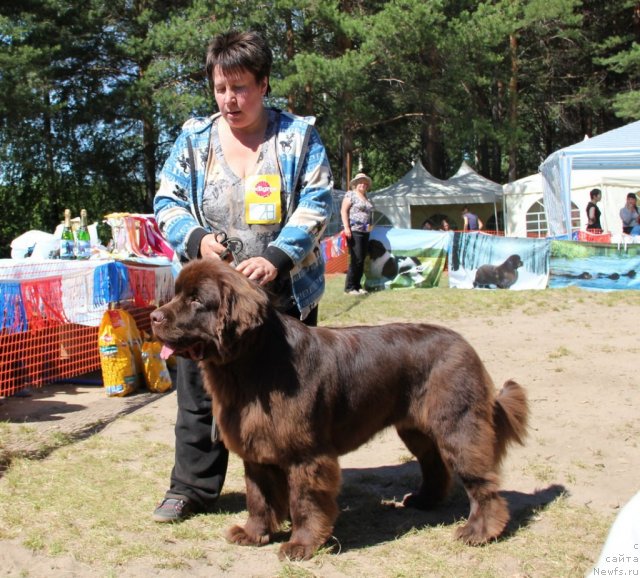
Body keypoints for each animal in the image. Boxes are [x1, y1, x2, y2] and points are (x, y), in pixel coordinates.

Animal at [151, 260, 528, 560]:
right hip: (415, 428)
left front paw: (300, 546)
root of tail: (465, 344)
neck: (251, 365)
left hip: (459, 424)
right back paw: (424, 500)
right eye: (178, 294)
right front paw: (253, 534)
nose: (154, 316)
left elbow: (305, 502)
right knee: (434, 463)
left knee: (480, 480)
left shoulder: (307, 455)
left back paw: (479, 532)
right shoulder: (256, 449)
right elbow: (258, 498)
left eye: (196, 300)